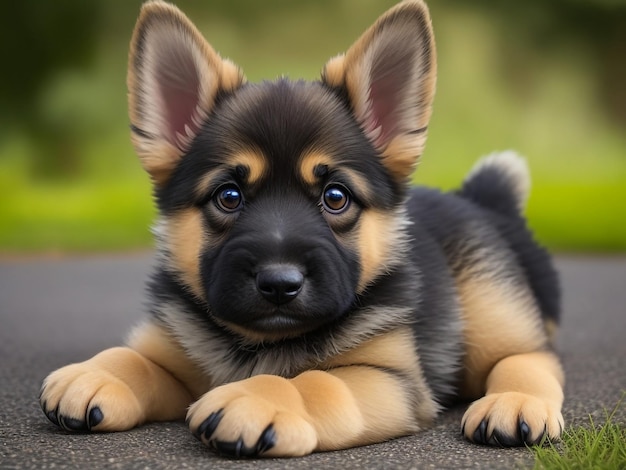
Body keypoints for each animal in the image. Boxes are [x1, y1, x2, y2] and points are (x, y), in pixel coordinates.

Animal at [41, 0, 564, 456]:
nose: (279, 284)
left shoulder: (387, 377)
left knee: (533, 357)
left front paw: (257, 397)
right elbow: (136, 358)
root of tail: (478, 198)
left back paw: (516, 403)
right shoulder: (174, 349)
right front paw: (98, 374)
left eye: (335, 197)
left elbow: (314, 380)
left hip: (491, 314)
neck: (259, 341)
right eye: (228, 197)